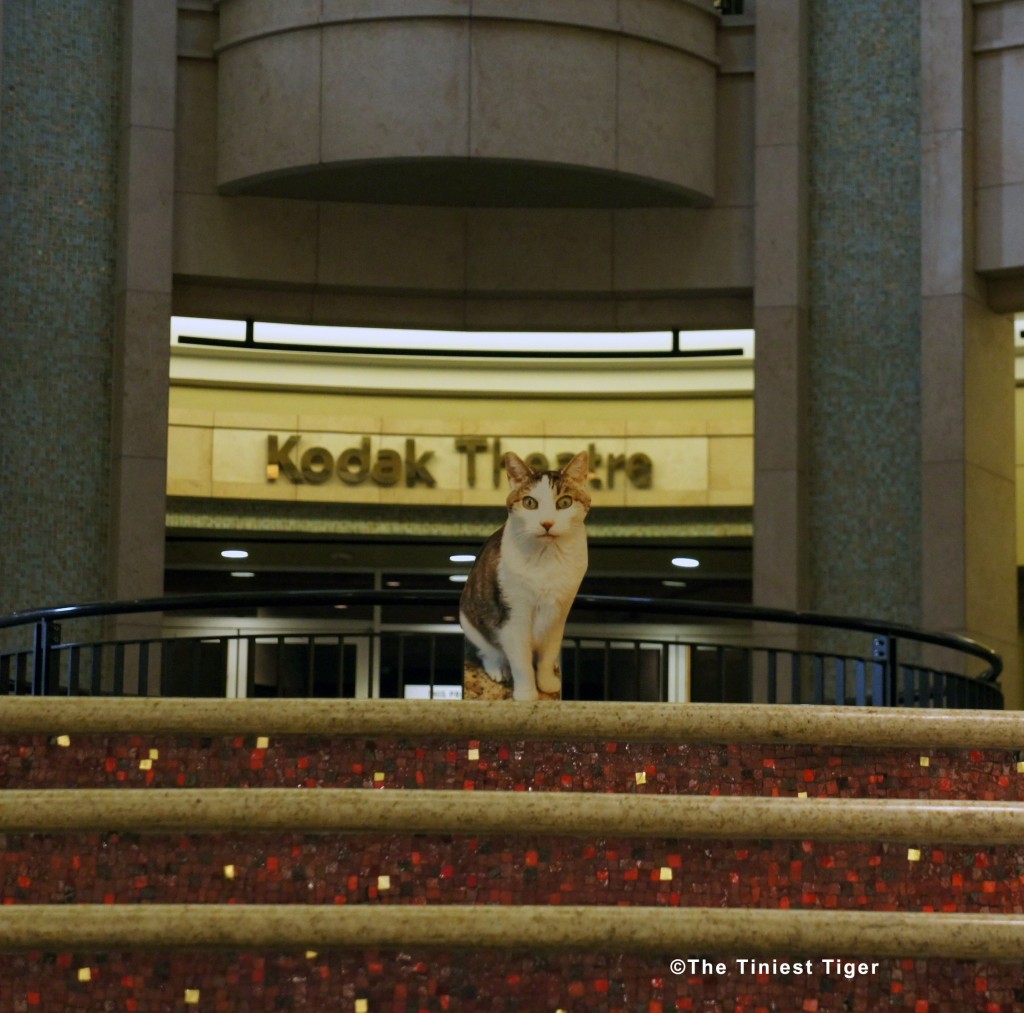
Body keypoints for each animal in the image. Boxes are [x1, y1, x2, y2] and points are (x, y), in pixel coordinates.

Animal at [458, 448, 589, 696]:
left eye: (565, 502)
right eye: (530, 502)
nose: (547, 523)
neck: (547, 557)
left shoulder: (559, 612)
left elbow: (548, 653)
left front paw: (546, 683)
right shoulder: (513, 614)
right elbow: (520, 660)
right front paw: (527, 694)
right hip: (470, 620)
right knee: (488, 650)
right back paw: (498, 668)